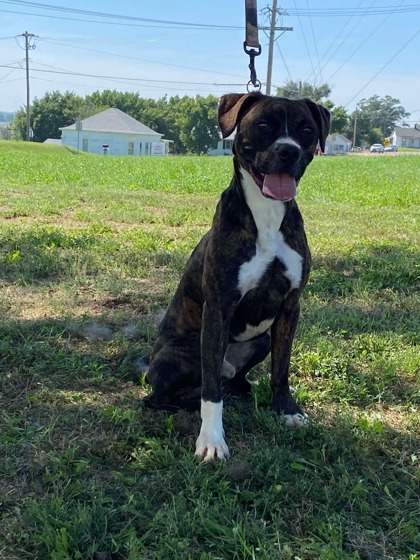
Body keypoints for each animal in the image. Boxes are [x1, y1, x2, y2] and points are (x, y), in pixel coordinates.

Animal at [146, 91, 330, 460]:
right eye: (263, 125)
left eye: (306, 129)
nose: (289, 151)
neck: (267, 214)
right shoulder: (219, 307)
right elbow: (211, 389)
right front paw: (211, 438)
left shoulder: (290, 306)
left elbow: (281, 368)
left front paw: (286, 409)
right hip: (186, 351)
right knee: (163, 397)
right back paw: (186, 407)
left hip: (260, 340)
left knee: (232, 378)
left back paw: (243, 389)